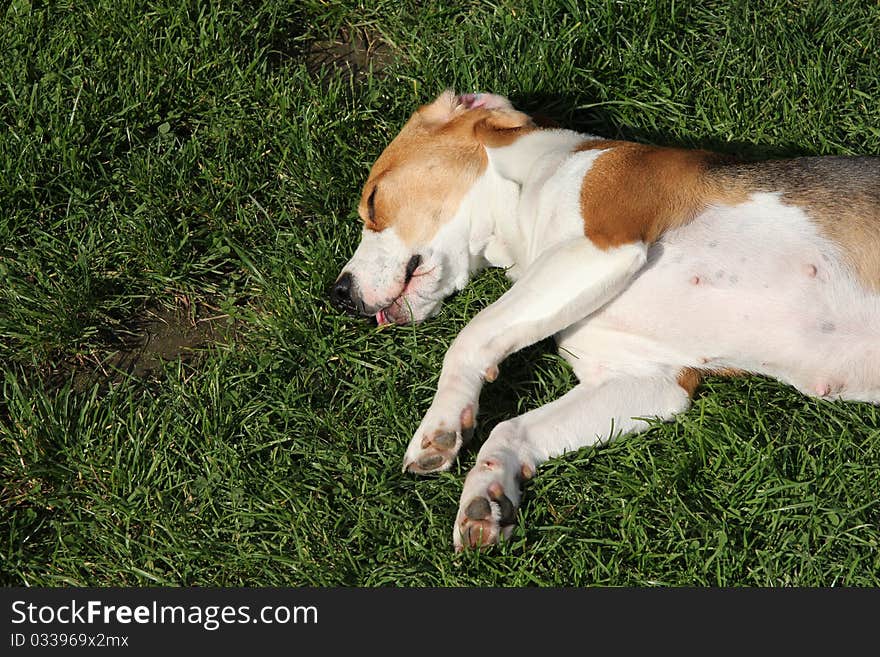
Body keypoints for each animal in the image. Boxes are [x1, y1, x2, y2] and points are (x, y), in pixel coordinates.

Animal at [332, 89, 880, 552]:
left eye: (373, 203)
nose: (338, 295)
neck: (529, 188)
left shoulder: (599, 246)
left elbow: (472, 335)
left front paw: (441, 424)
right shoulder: (650, 380)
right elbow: (511, 429)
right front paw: (487, 490)